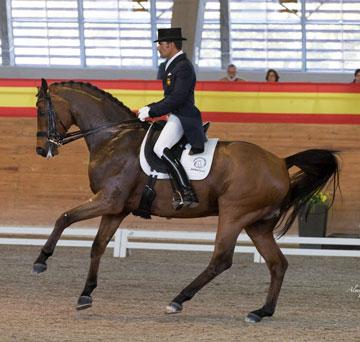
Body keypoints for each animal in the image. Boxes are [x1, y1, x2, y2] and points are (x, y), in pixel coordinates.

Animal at [32, 78, 338, 324]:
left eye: (41, 110)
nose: (41, 150)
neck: (113, 137)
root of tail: (281, 162)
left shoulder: (108, 200)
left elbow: (64, 217)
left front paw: (41, 261)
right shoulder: (116, 209)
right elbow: (97, 246)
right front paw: (86, 295)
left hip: (234, 214)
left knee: (221, 260)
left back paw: (177, 300)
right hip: (258, 224)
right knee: (277, 264)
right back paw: (261, 312)